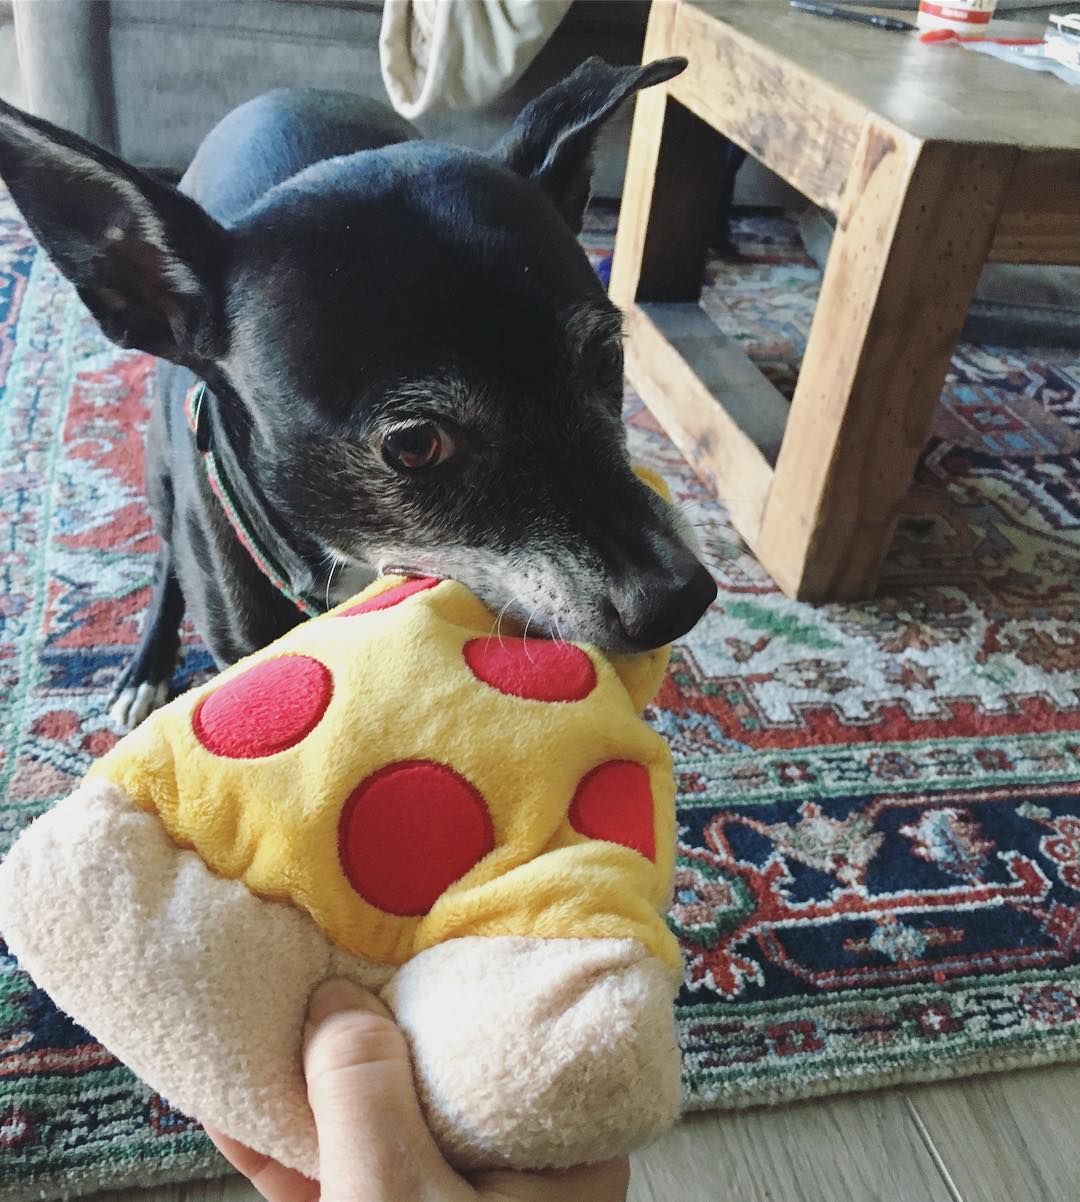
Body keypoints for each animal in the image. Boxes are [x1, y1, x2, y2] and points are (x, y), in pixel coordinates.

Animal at [0, 56, 715, 721]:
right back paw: (145, 666)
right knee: (163, 559)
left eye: (607, 360)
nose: (681, 600)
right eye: (415, 444)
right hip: (158, 474)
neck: (352, 567)